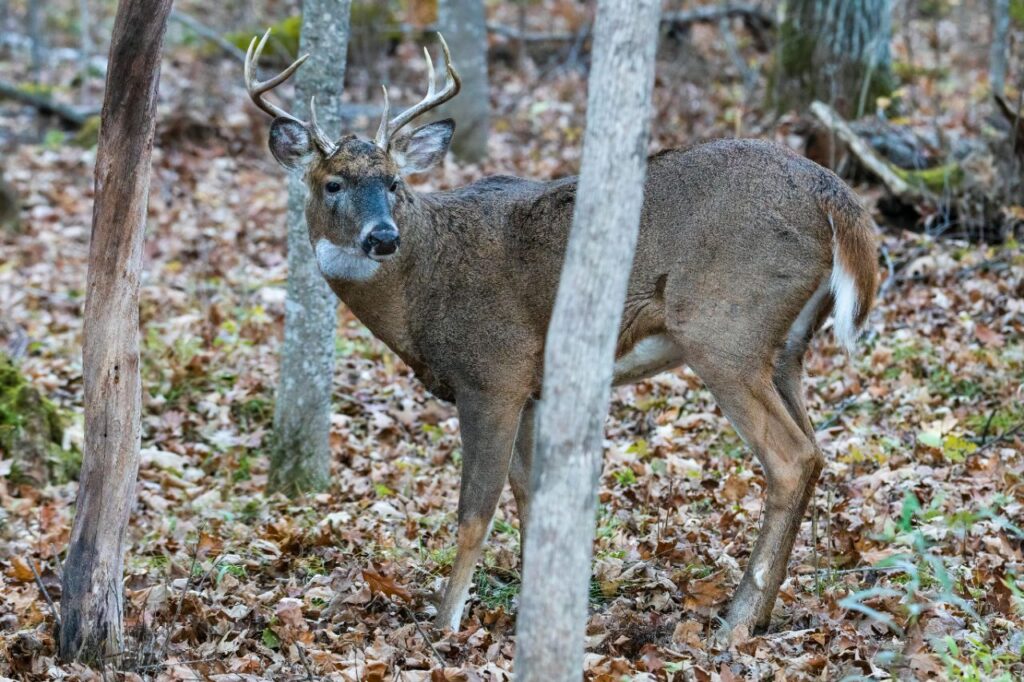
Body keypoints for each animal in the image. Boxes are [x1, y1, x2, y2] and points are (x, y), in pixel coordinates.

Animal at [244, 30, 878, 638]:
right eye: (333, 184)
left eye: (395, 181)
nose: (382, 236)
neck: (423, 286)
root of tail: (834, 195)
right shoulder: (531, 388)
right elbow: (530, 497)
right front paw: (535, 604)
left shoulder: (492, 376)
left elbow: (476, 511)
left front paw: (446, 626)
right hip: (787, 347)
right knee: (816, 452)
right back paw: (761, 614)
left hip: (724, 330)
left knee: (791, 457)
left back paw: (736, 622)